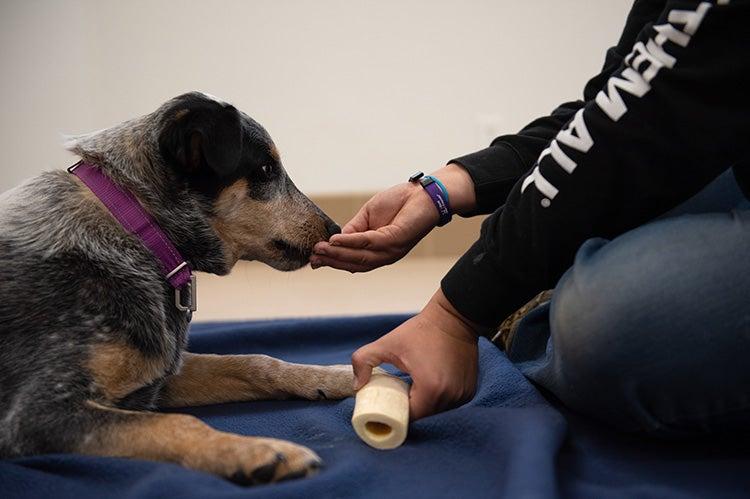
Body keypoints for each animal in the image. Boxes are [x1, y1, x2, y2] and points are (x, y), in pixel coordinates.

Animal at [0, 92, 358, 486]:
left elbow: (255, 362)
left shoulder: (157, 375)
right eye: (265, 170)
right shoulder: (38, 413)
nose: (335, 228)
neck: (137, 230)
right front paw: (256, 451)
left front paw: (339, 375)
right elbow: (176, 423)